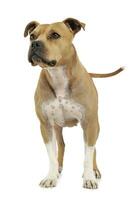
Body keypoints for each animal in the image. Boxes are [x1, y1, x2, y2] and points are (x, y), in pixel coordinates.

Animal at [24, 18, 124, 189]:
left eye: (55, 35)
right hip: (57, 127)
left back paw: (94, 170)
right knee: (61, 145)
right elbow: (51, 154)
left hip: (95, 127)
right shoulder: (45, 125)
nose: (35, 44)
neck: (58, 75)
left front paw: (89, 178)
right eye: (32, 36)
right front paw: (51, 177)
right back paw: (58, 168)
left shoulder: (90, 123)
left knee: (93, 149)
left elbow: (88, 154)